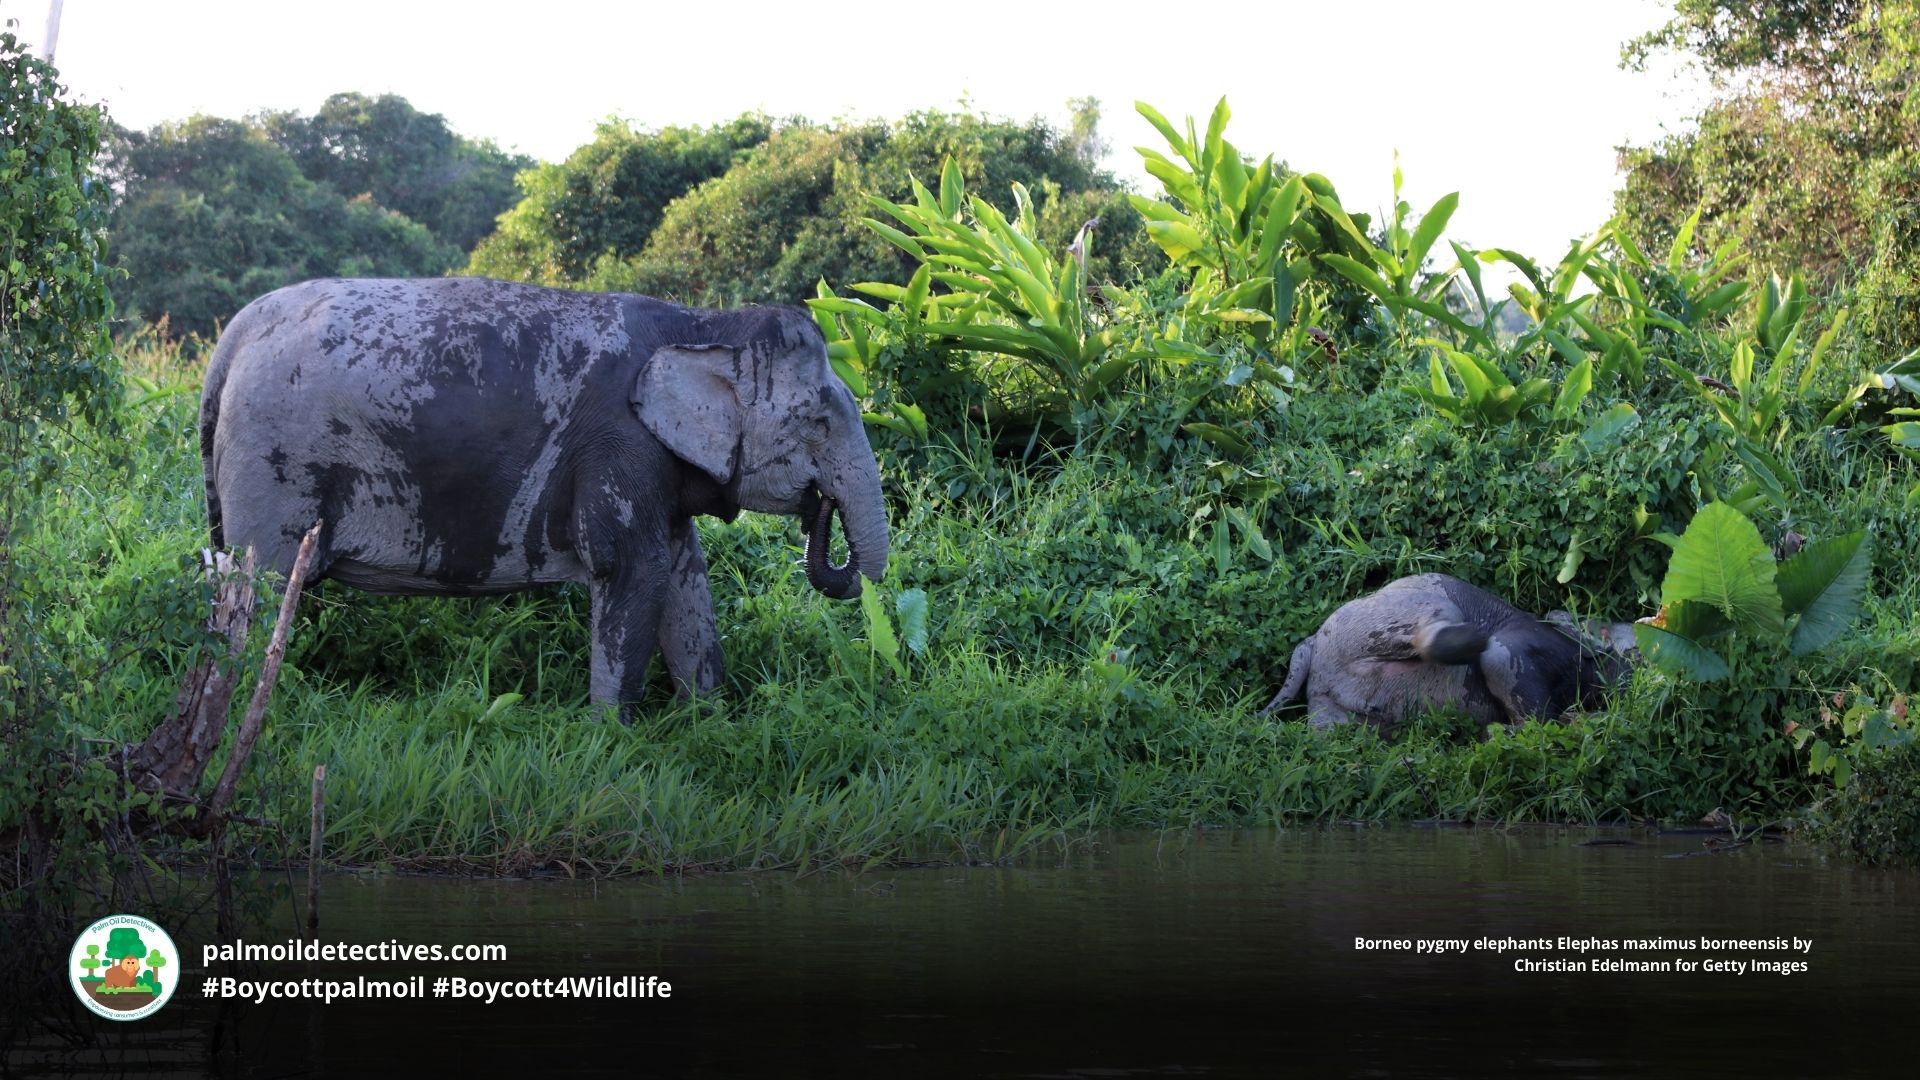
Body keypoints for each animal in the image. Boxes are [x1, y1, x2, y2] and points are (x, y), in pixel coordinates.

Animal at [199, 276, 889, 712]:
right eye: (818, 422)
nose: (820, 507)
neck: (702, 322)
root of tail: (230, 340)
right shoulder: (620, 443)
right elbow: (634, 570)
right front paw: (612, 741)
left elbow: (684, 576)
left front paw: (708, 724)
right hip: (276, 466)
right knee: (262, 584)